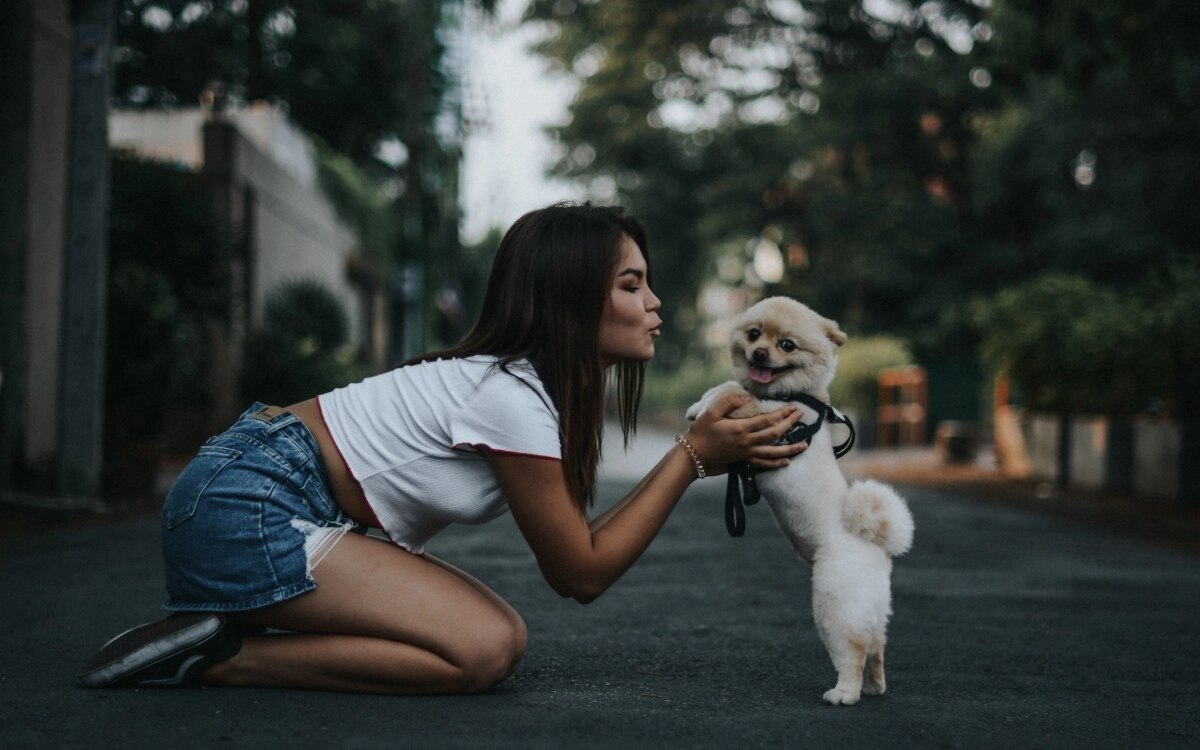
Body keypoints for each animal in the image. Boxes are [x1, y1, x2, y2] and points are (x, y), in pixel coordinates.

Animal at [691, 295, 912, 705]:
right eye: (754, 334)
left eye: (787, 345)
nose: (760, 353)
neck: (791, 393)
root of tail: (874, 543)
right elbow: (731, 386)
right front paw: (701, 403)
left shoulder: (770, 417)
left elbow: (733, 390)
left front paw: (701, 406)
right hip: (871, 609)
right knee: (877, 645)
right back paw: (874, 686)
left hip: (834, 605)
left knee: (854, 649)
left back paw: (845, 693)